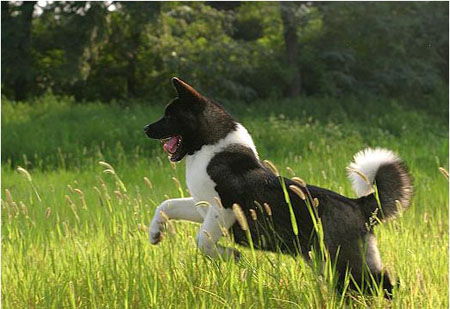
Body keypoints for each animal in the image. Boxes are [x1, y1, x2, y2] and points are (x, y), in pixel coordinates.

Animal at [143, 77, 412, 296]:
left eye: (169, 115)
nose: (145, 128)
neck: (210, 147)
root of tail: (360, 204)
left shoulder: (223, 209)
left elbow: (202, 241)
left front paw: (231, 255)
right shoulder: (202, 208)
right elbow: (166, 206)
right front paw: (155, 233)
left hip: (346, 261)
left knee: (385, 284)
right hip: (333, 263)